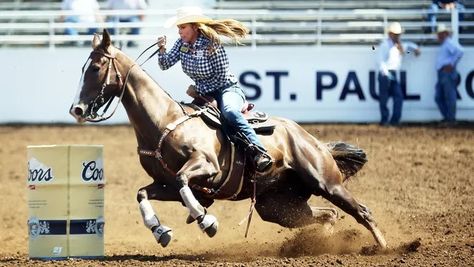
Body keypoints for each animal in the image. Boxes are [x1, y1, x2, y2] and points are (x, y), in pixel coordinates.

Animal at [71, 30, 388, 250]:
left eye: (96, 68)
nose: (77, 109)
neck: (164, 121)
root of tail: (313, 141)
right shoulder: (167, 184)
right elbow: (142, 194)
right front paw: (161, 231)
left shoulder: (206, 168)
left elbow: (186, 182)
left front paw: (205, 221)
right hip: (278, 207)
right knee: (328, 215)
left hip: (326, 183)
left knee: (362, 212)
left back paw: (382, 248)